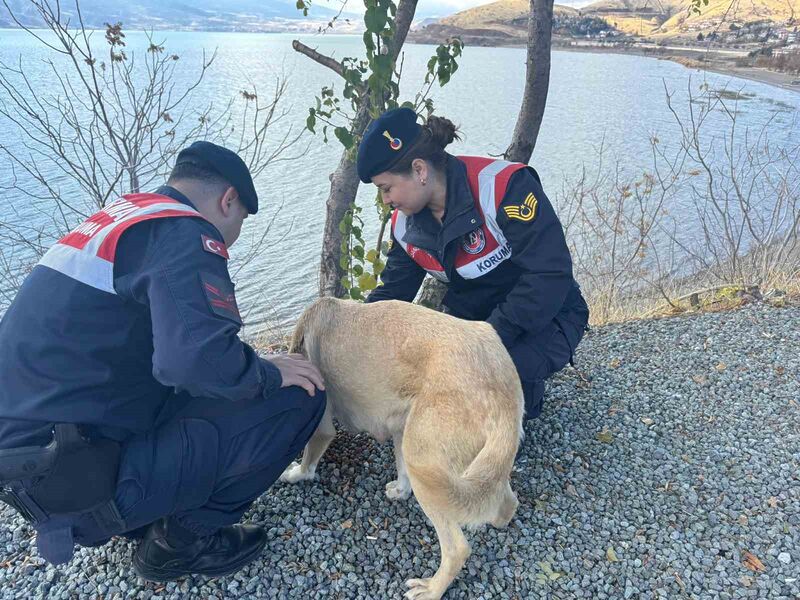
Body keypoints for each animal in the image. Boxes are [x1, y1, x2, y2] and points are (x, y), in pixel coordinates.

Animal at [282, 300, 524, 600]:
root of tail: (501, 389)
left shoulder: (323, 427)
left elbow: (307, 463)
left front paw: (294, 474)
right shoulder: (398, 425)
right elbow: (401, 472)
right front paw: (399, 491)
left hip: (425, 461)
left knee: (457, 549)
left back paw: (432, 589)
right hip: (463, 461)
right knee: (506, 501)